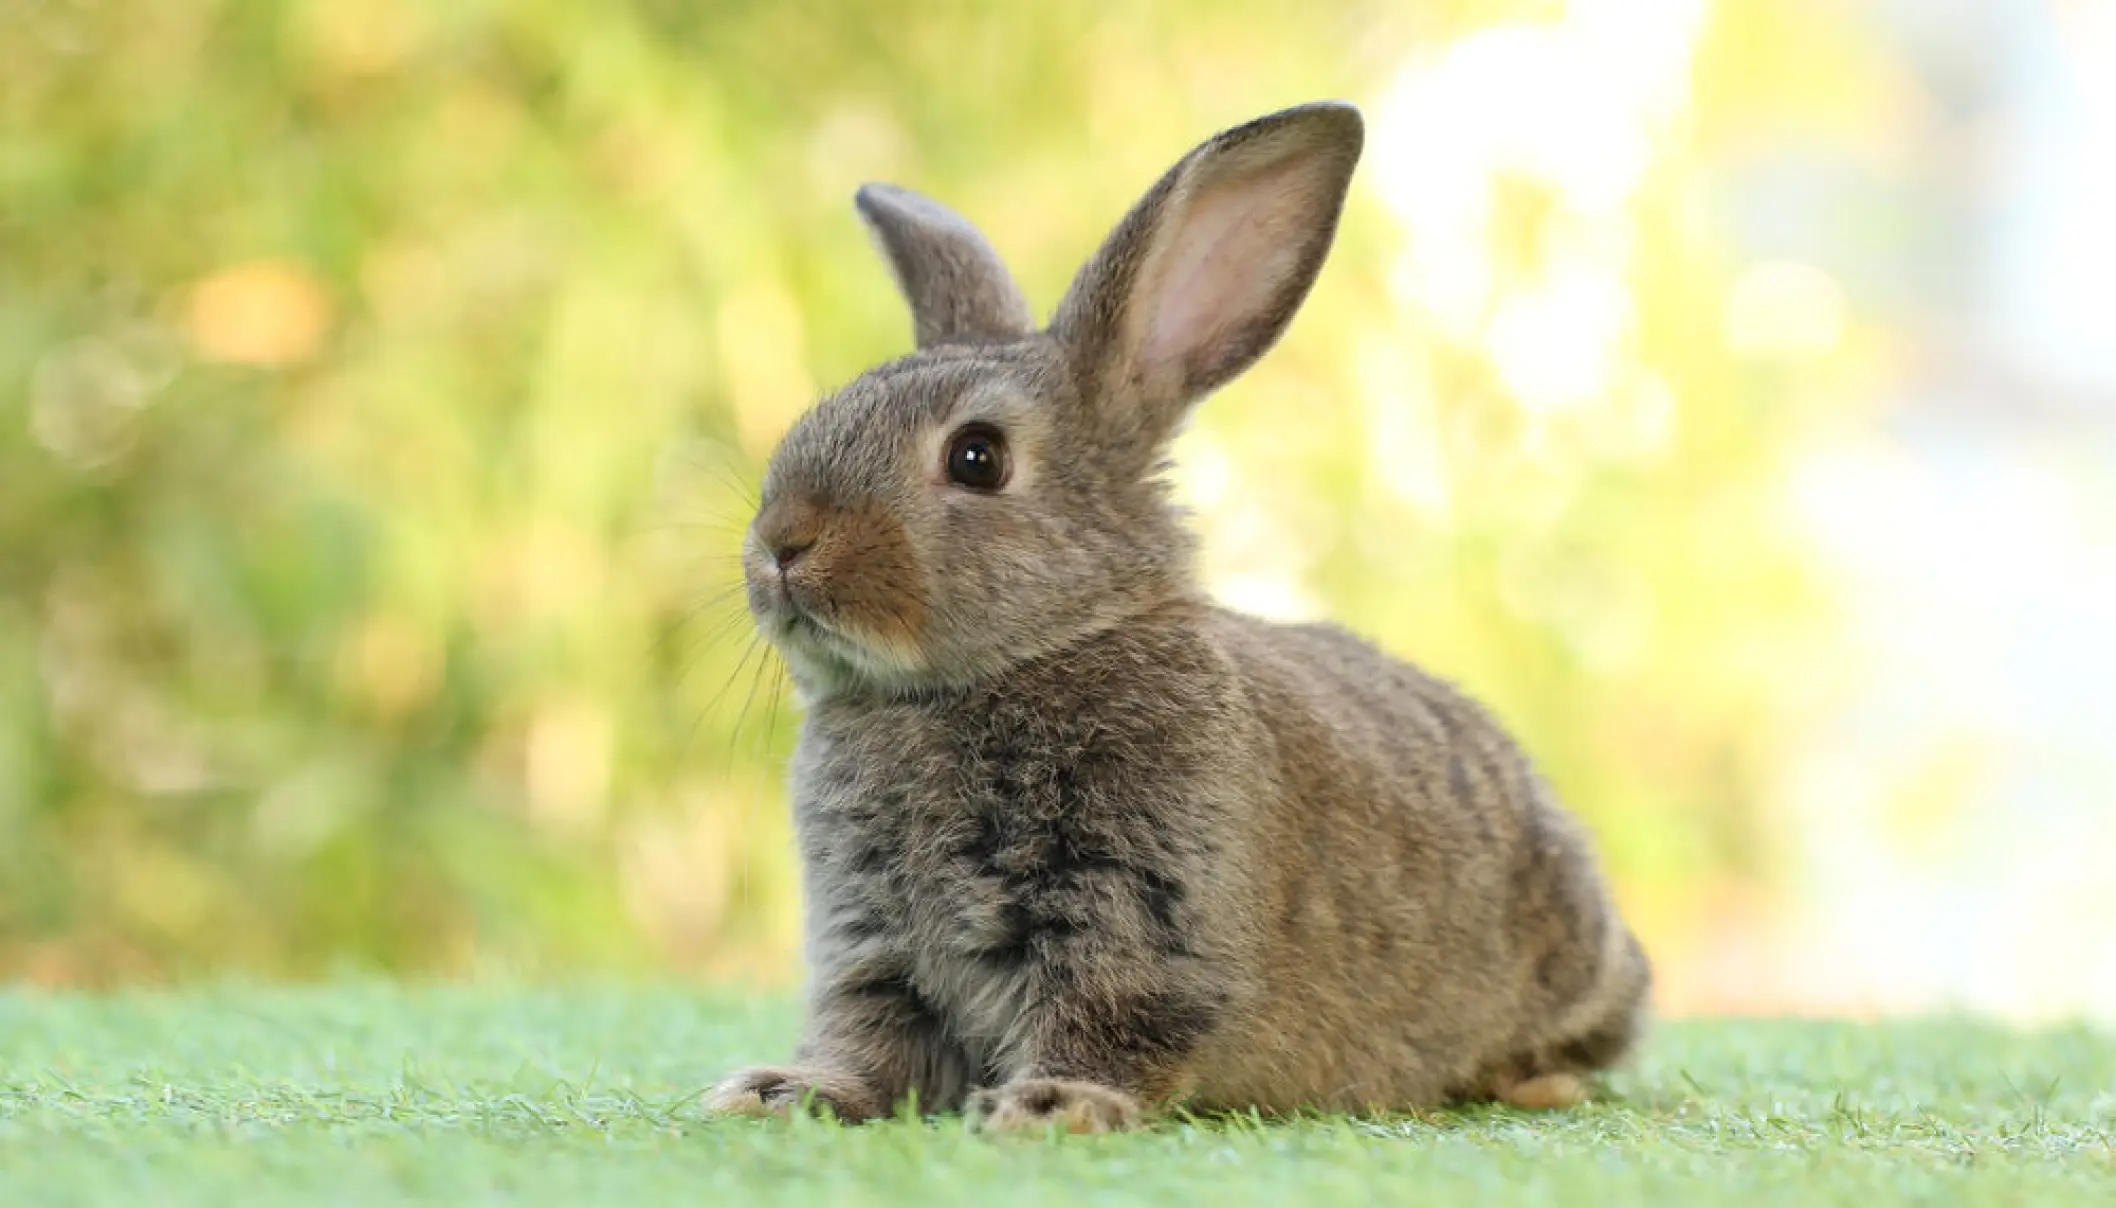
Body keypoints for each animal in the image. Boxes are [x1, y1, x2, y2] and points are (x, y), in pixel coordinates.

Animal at [702, 100, 1651, 1134]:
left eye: (977, 458)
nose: (782, 546)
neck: (1018, 659)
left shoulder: (1140, 917)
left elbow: (1107, 1016)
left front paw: (1050, 1107)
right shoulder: (876, 948)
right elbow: (872, 1043)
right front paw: (783, 1093)